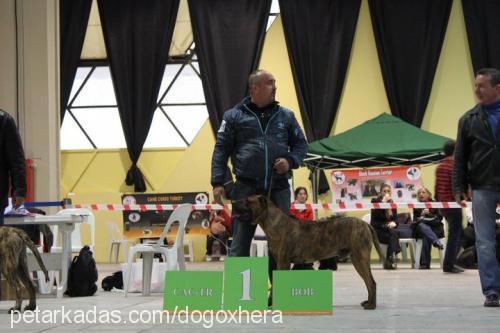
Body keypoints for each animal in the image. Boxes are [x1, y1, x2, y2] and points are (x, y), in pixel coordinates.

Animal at [232, 195, 384, 308]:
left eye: (247, 201)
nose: (233, 202)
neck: (275, 224)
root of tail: (366, 224)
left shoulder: (283, 262)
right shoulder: (279, 262)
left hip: (360, 258)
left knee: (371, 282)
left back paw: (371, 305)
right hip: (357, 259)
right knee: (368, 282)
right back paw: (368, 302)